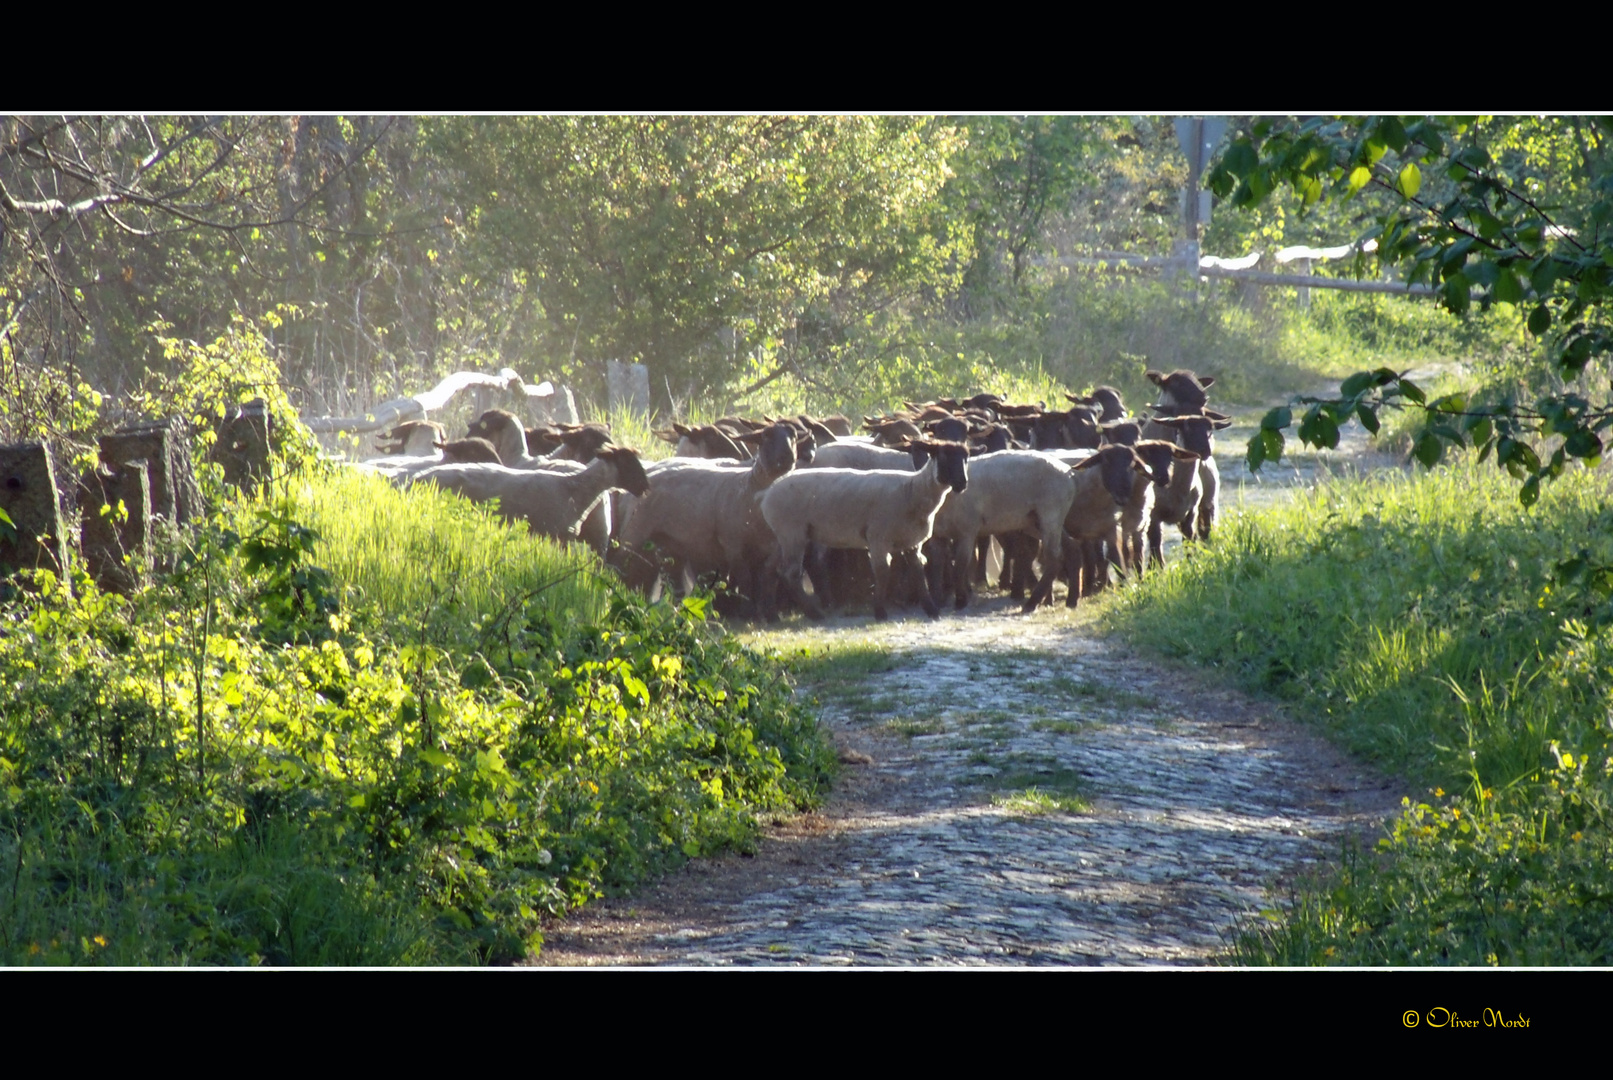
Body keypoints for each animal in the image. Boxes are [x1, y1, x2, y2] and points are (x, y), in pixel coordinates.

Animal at [758, 438, 967, 622]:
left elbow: (918, 573)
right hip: (792, 533)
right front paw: (880, 612)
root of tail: (767, 493)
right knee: (791, 573)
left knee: (770, 568)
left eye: (966, 458)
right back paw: (815, 614)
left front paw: (931, 610)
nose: (963, 483)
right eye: (944, 457)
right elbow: (882, 571)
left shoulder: (912, 542)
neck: (912, 490)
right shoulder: (878, 537)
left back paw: (772, 615)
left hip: (783, 535)